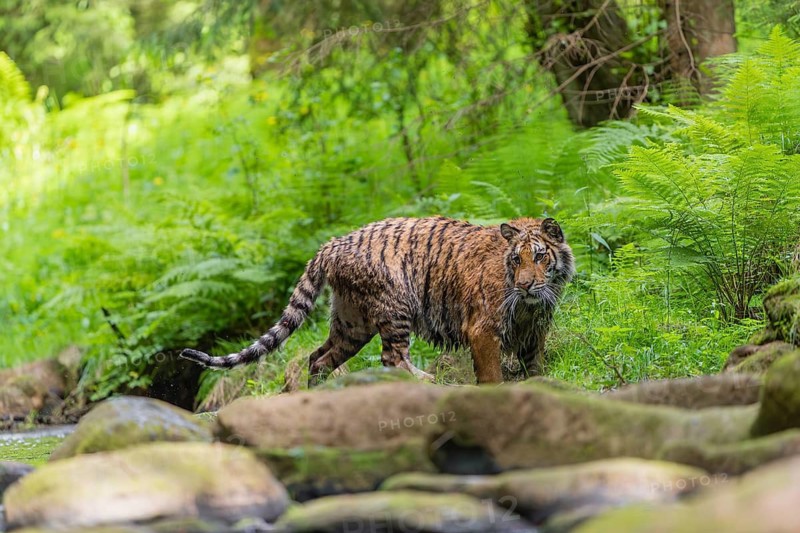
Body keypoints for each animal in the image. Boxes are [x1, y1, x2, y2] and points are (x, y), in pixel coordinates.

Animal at [181, 216, 575, 385]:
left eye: (539, 257)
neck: (528, 306)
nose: (526, 286)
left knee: (317, 358)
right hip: (395, 307)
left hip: (352, 323)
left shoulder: (534, 329)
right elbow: (491, 373)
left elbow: (535, 364)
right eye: (516, 260)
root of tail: (331, 244)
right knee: (392, 359)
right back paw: (428, 380)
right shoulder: (483, 331)